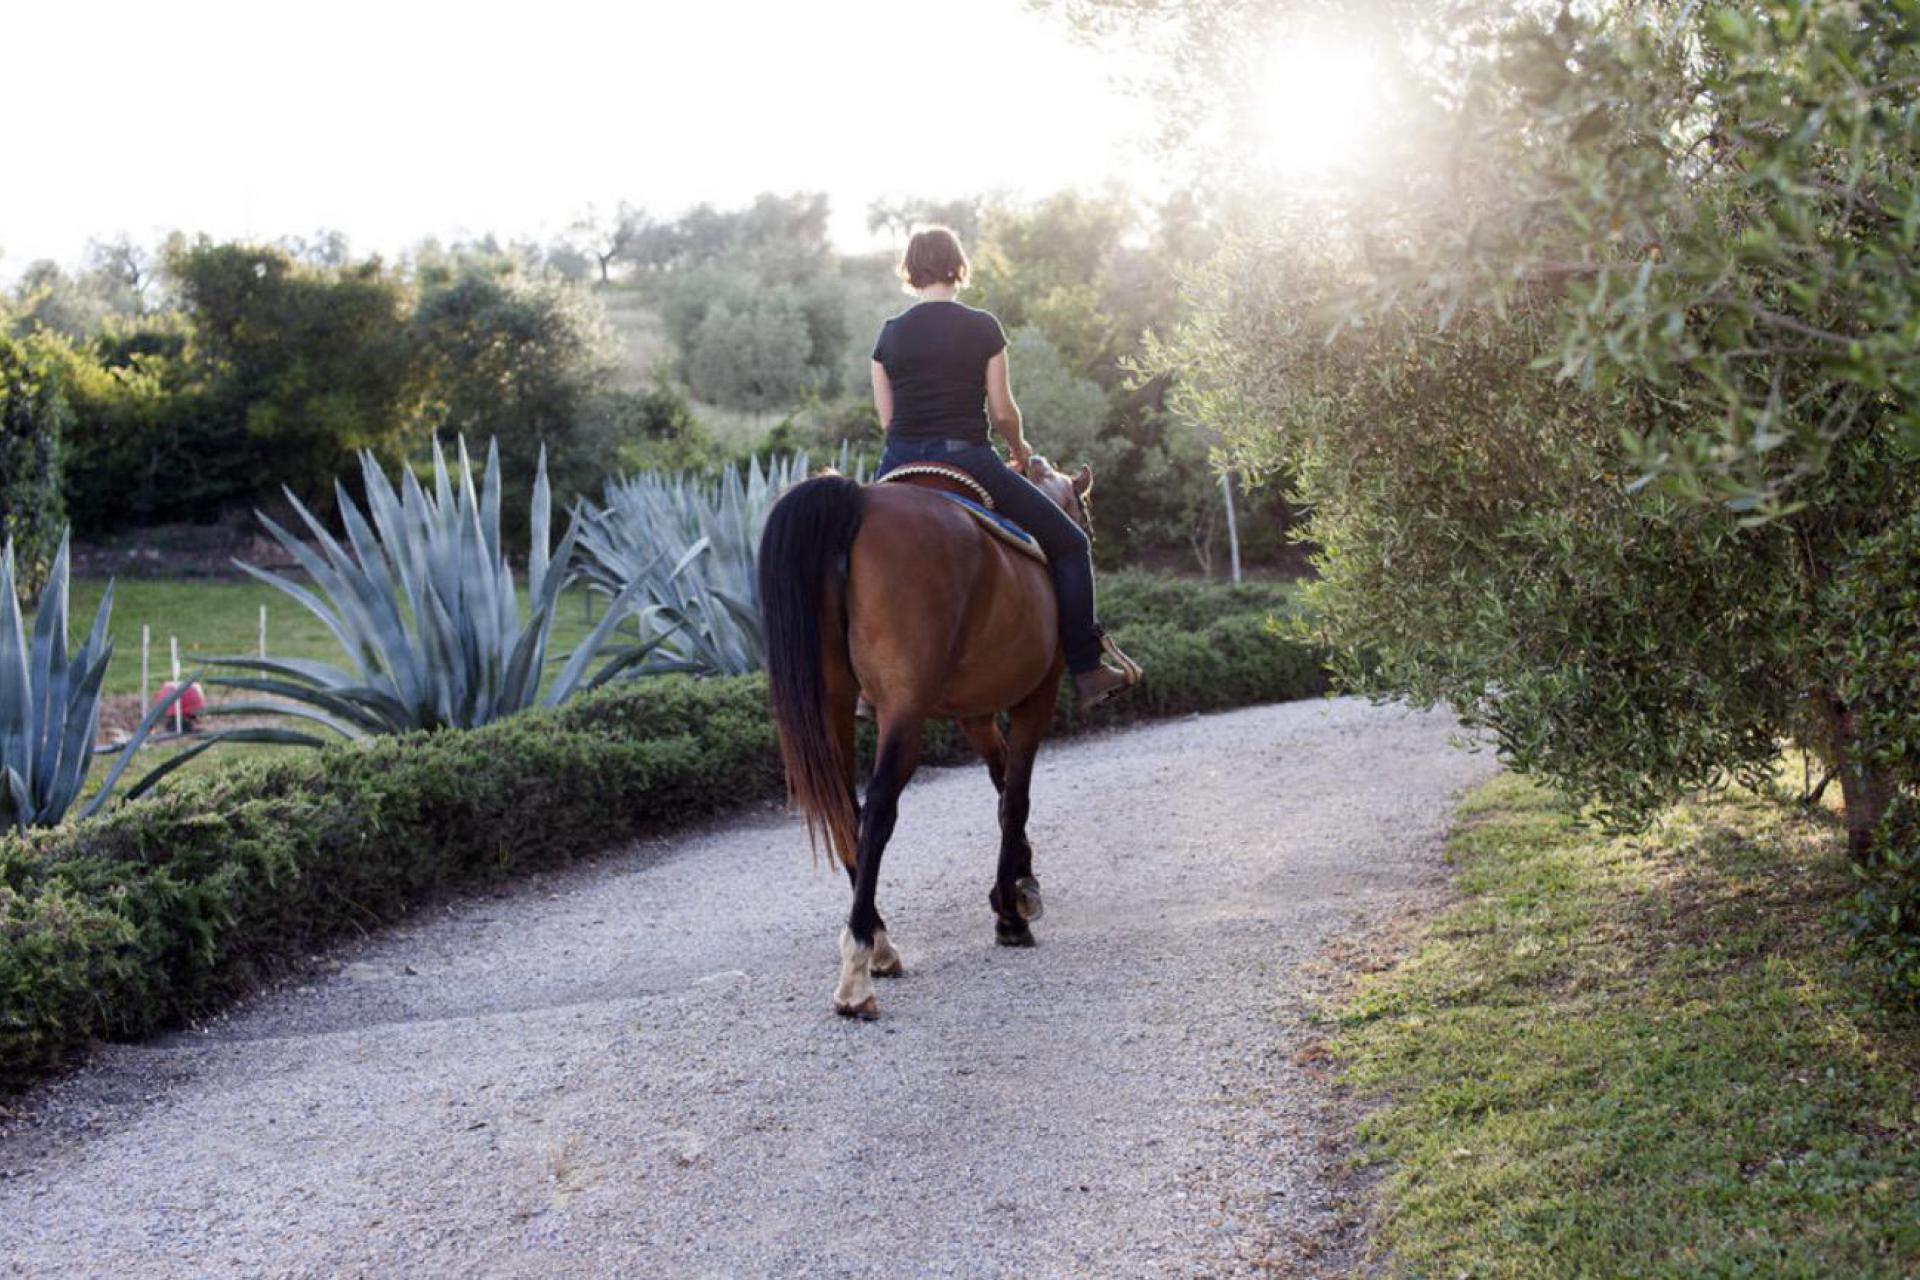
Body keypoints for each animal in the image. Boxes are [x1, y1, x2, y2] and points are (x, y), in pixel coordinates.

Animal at [760, 454, 1105, 1013]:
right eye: (1086, 515)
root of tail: (857, 501)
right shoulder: (1037, 694)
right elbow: (1016, 795)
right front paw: (1010, 912)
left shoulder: (975, 714)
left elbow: (1001, 784)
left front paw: (1020, 882)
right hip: (904, 707)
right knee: (879, 808)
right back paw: (859, 965)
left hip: (832, 701)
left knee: (845, 811)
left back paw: (878, 940)